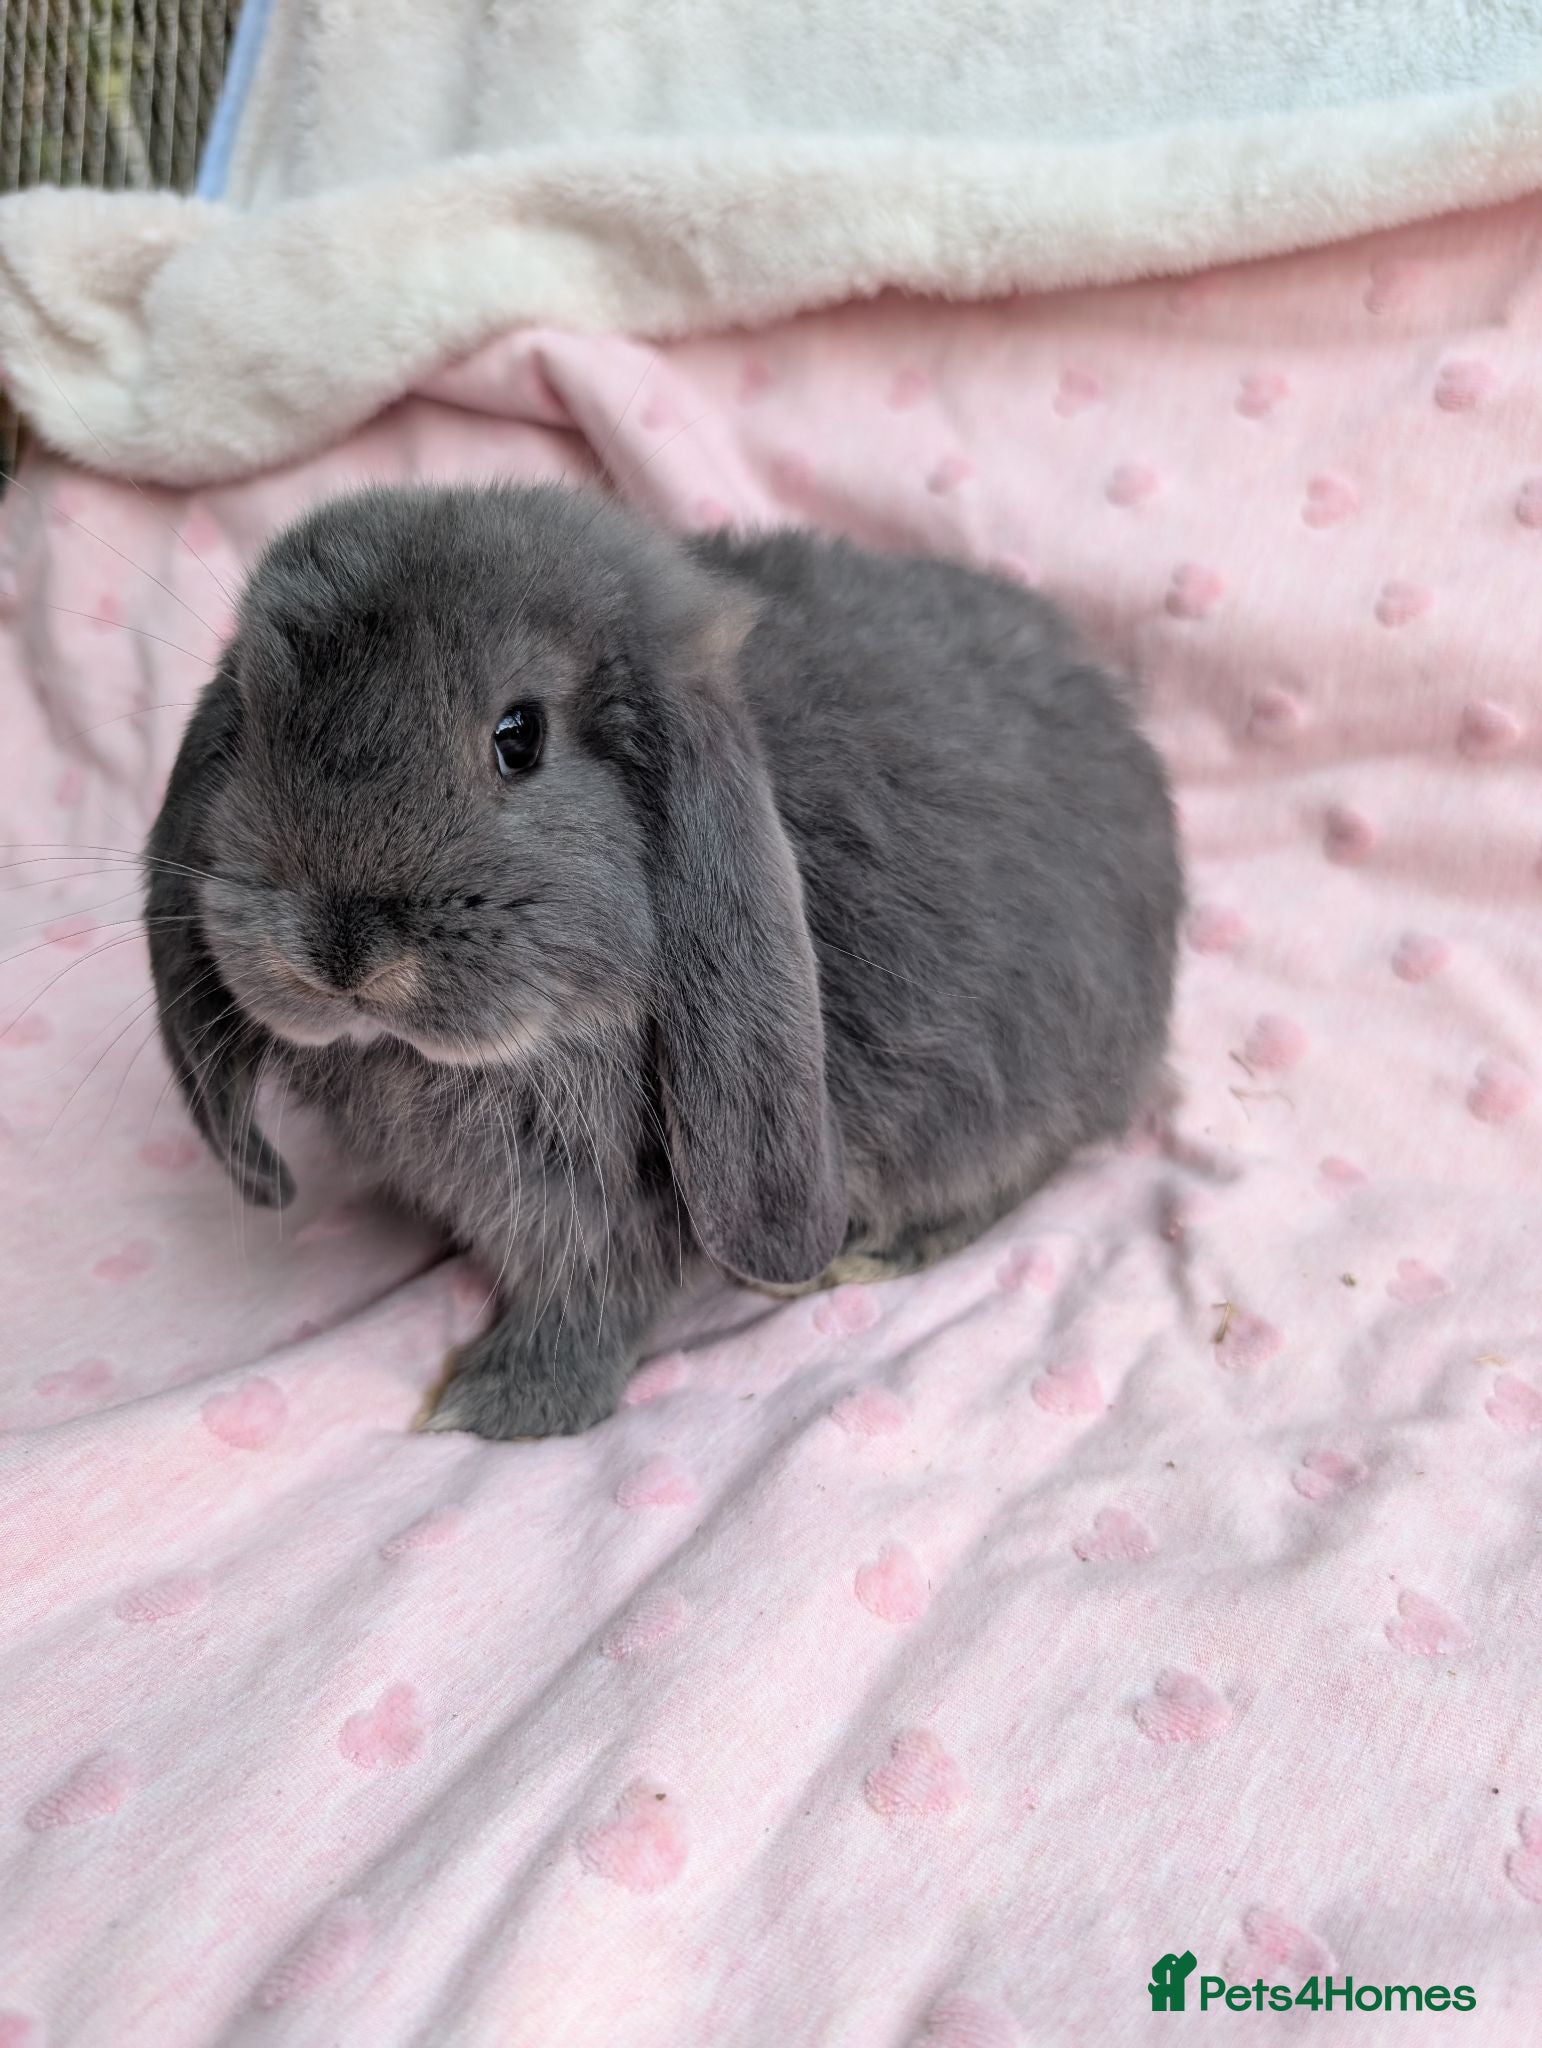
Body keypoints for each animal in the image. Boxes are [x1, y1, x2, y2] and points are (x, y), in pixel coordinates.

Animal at [145, 483, 1181, 1439]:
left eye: (519, 736)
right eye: (257, 718)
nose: (338, 947)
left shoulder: (612, 1206)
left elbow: (592, 1297)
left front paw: (499, 1404)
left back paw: (877, 1251)